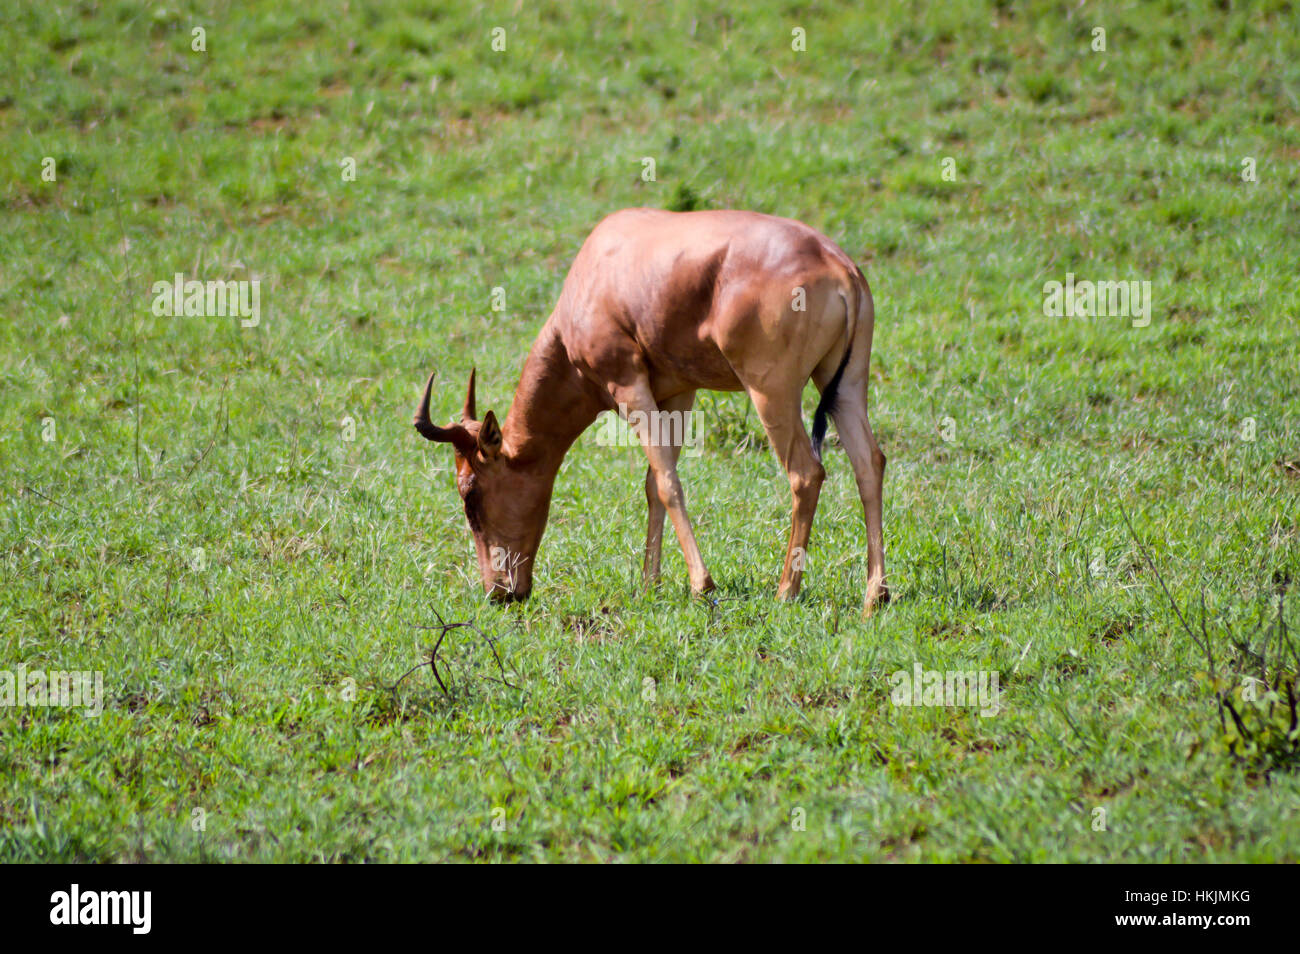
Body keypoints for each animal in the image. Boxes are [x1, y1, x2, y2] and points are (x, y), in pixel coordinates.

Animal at [416, 206, 894, 616]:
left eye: (470, 494)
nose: (499, 593)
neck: (599, 266)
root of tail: (839, 267)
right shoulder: (679, 393)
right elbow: (653, 482)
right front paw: (651, 583)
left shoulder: (628, 384)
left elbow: (666, 481)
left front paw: (702, 585)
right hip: (846, 384)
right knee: (869, 463)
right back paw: (876, 595)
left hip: (770, 390)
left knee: (806, 473)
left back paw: (786, 592)